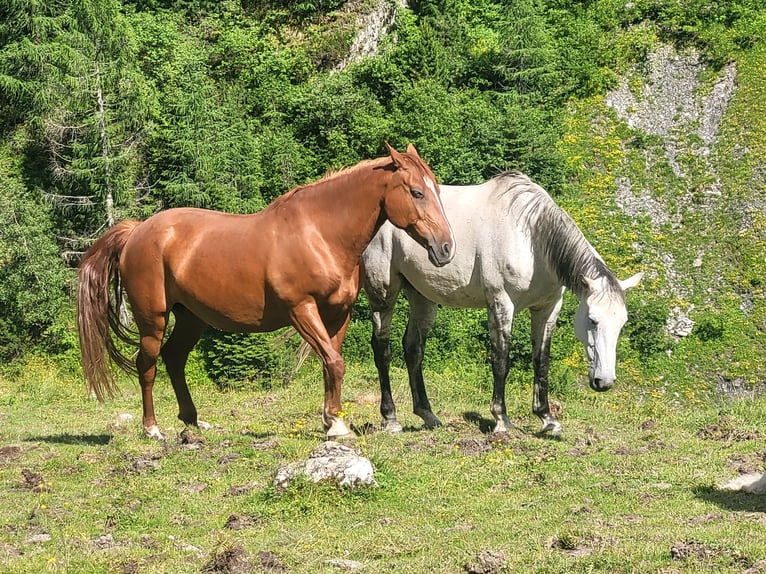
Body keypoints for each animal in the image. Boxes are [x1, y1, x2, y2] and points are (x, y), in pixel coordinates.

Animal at [76, 144, 456, 440]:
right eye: (417, 192)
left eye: (437, 191)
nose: (446, 248)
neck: (320, 234)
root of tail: (138, 231)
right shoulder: (301, 310)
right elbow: (334, 362)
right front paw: (335, 425)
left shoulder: (338, 313)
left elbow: (331, 364)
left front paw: (331, 419)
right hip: (153, 319)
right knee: (148, 364)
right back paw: (152, 429)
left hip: (191, 318)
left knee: (174, 358)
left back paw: (194, 421)